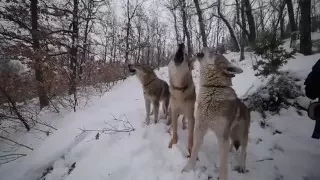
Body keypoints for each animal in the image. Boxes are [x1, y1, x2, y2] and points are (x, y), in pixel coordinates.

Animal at [181, 47, 251, 180]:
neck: (213, 88)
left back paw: (242, 166)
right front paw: (187, 169)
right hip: (231, 133)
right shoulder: (200, 129)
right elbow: (194, 152)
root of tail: (246, 107)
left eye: (215, 52)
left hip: (242, 135)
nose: (205, 47)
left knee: (244, 151)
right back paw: (231, 152)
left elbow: (223, 166)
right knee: (233, 144)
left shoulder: (222, 137)